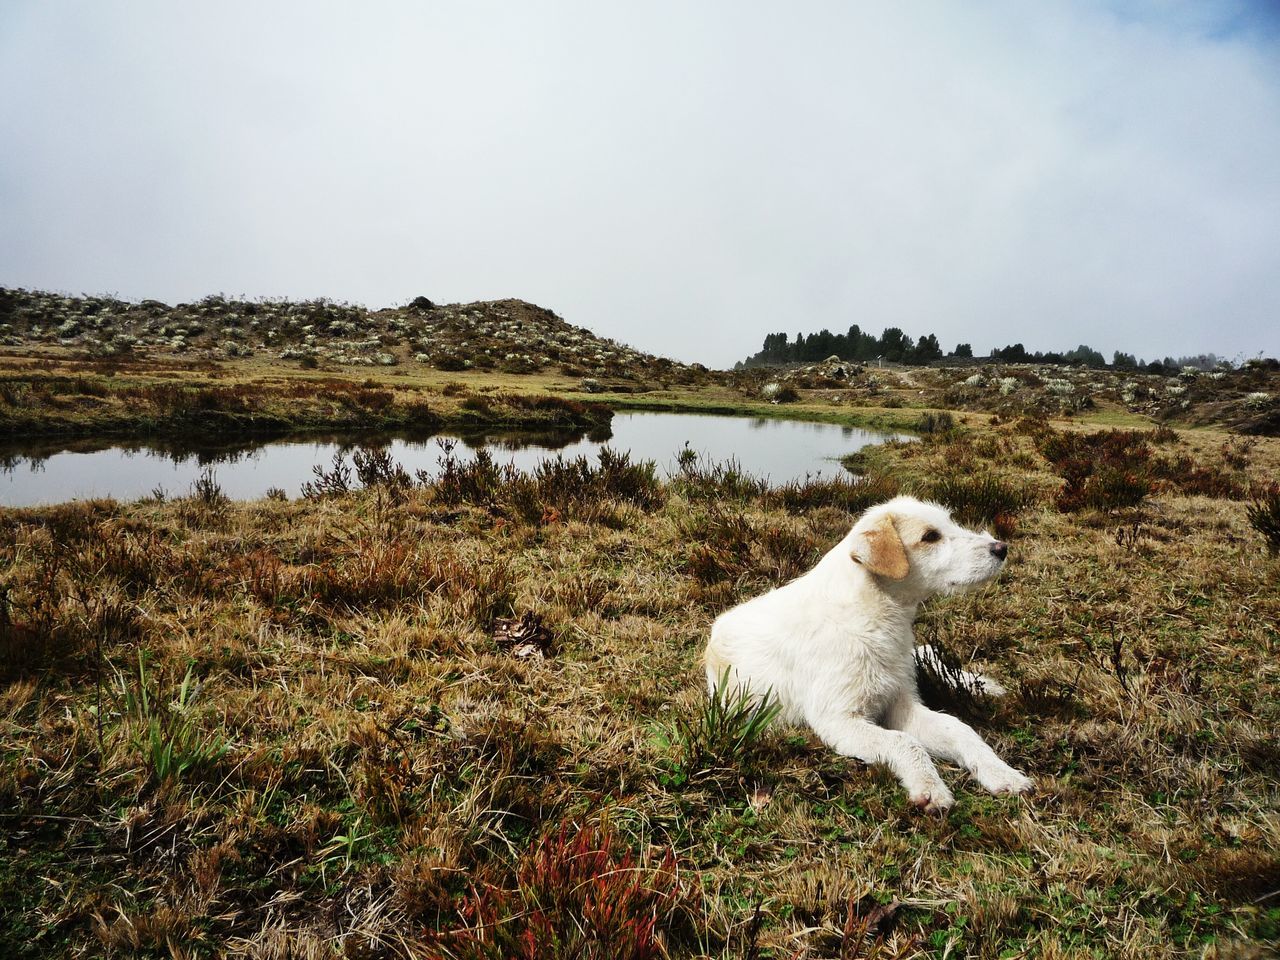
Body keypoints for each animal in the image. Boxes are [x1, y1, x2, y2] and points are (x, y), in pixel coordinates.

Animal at [706, 496, 1034, 814]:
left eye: (950, 522)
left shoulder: (902, 705)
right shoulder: (839, 720)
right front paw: (928, 786)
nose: (1001, 548)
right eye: (930, 536)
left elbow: (959, 729)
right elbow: (905, 742)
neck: (871, 618)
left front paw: (1001, 773)